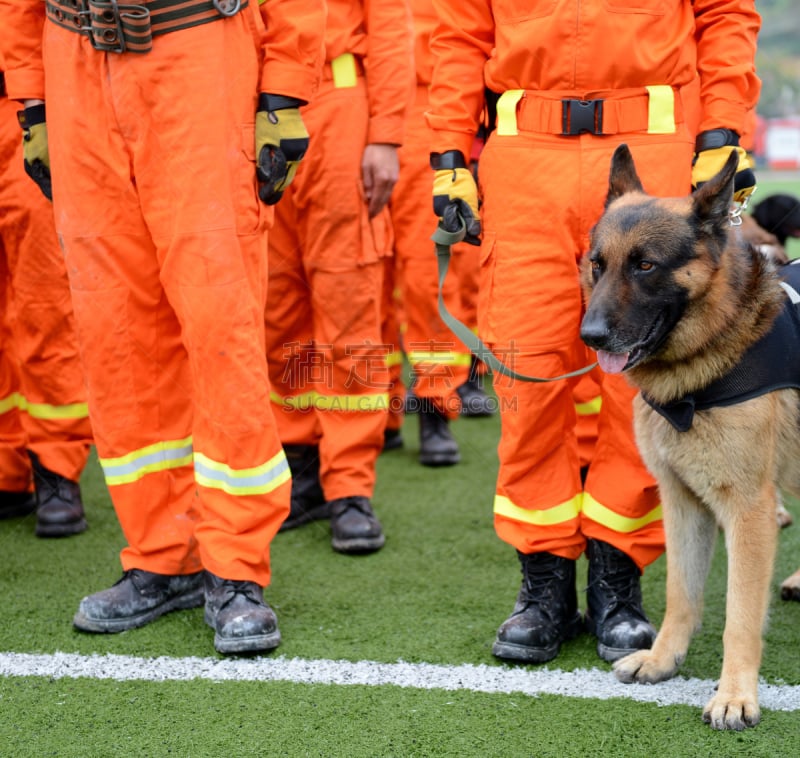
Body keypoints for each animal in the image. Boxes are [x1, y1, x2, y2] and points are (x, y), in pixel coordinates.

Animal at [580, 142, 800, 732]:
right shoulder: (682, 502)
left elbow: (739, 616)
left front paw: (735, 695)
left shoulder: (747, 511)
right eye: (597, 265)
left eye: (646, 265)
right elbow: (682, 593)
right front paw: (662, 659)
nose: (590, 337)